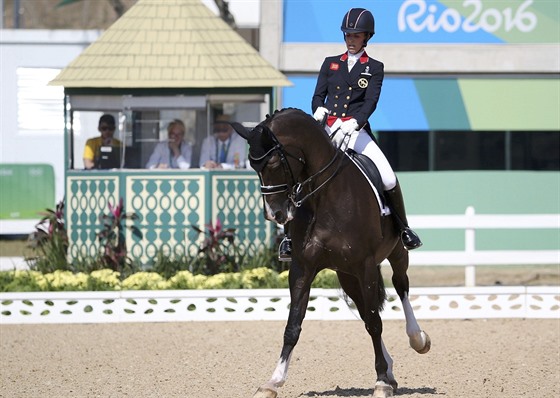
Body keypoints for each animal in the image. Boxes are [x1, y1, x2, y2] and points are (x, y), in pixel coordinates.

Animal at [230, 106, 430, 398]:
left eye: (275, 163)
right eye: (253, 167)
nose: (274, 214)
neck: (324, 196)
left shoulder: (366, 265)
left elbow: (375, 323)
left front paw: (381, 381)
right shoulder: (302, 267)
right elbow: (293, 325)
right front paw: (273, 381)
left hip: (394, 255)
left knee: (400, 286)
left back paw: (417, 339)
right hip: (347, 276)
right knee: (365, 310)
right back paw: (392, 370)